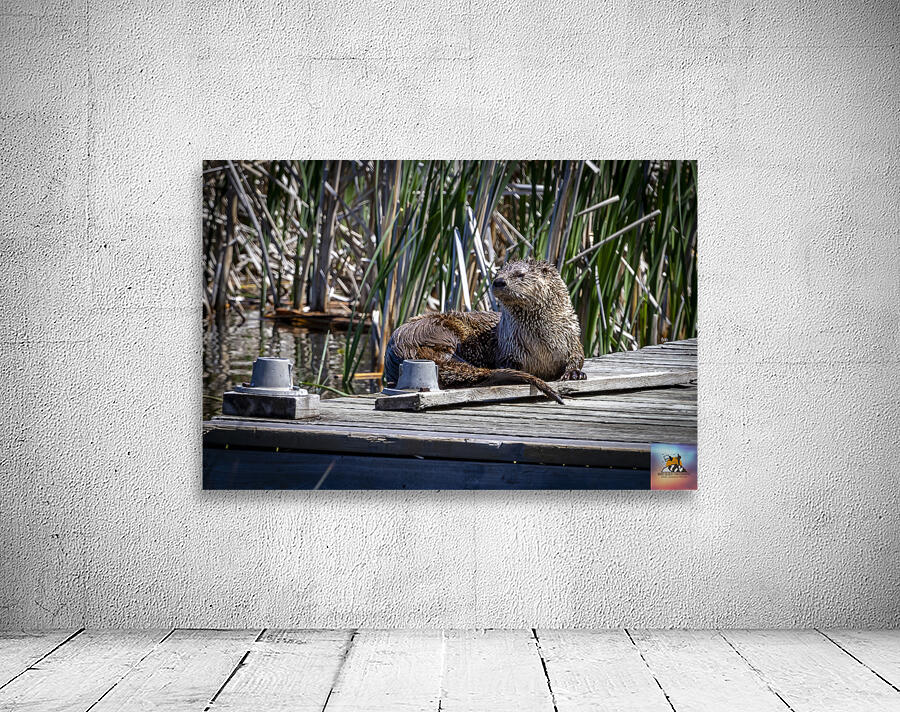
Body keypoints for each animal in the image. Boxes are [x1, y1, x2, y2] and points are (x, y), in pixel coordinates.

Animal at [383, 258, 586, 404]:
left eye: (520, 274)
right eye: (498, 273)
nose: (499, 282)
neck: (542, 343)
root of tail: (401, 347)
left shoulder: (572, 339)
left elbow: (578, 357)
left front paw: (575, 373)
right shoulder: (509, 348)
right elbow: (506, 364)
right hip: (440, 331)